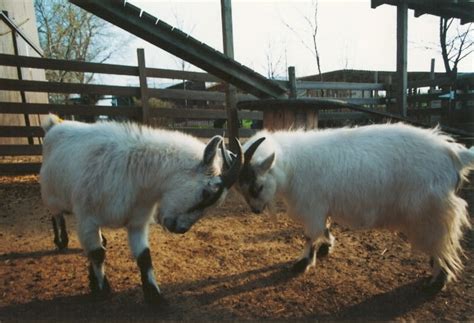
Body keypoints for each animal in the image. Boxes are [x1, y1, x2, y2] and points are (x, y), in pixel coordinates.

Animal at [39, 115, 243, 306]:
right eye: (206, 193)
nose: (181, 229)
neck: (136, 172)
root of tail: (54, 125)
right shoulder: (87, 219)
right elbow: (97, 254)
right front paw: (102, 290)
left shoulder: (137, 222)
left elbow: (144, 256)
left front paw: (155, 298)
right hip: (51, 196)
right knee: (56, 216)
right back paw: (61, 241)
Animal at [234, 123, 474, 292]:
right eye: (240, 190)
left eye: (257, 186)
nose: (256, 210)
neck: (292, 165)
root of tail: (454, 153)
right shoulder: (323, 206)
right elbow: (325, 227)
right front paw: (327, 246)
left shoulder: (313, 207)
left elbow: (310, 235)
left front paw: (303, 263)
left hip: (432, 211)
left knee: (443, 242)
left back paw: (438, 280)